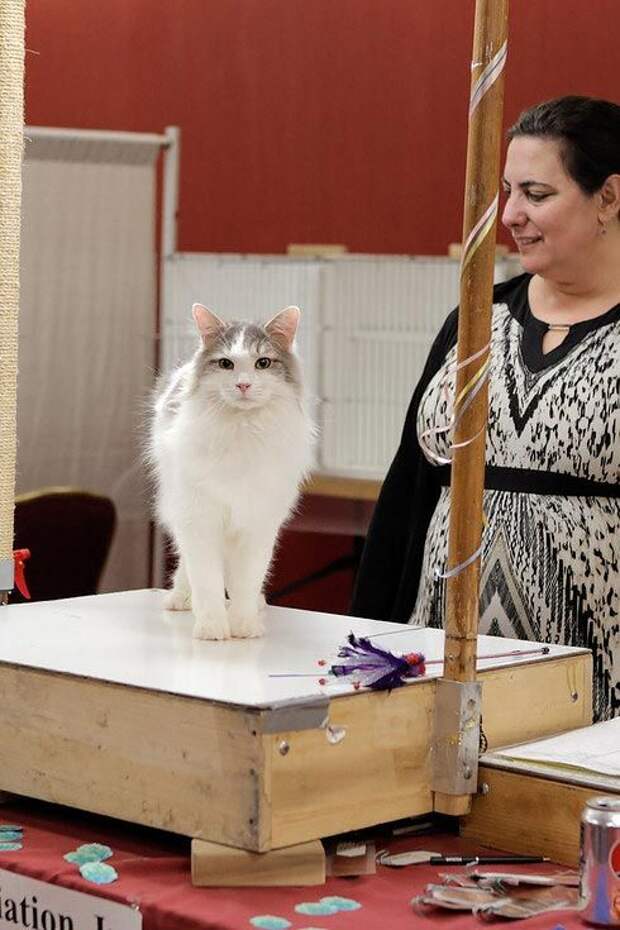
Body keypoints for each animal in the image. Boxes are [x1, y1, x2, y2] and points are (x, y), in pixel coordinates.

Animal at [149, 302, 314, 640]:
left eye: (262, 363)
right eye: (226, 364)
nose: (243, 385)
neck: (242, 429)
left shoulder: (258, 524)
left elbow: (247, 580)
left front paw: (244, 625)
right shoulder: (200, 519)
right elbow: (207, 581)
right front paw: (212, 628)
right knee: (186, 565)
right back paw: (180, 599)